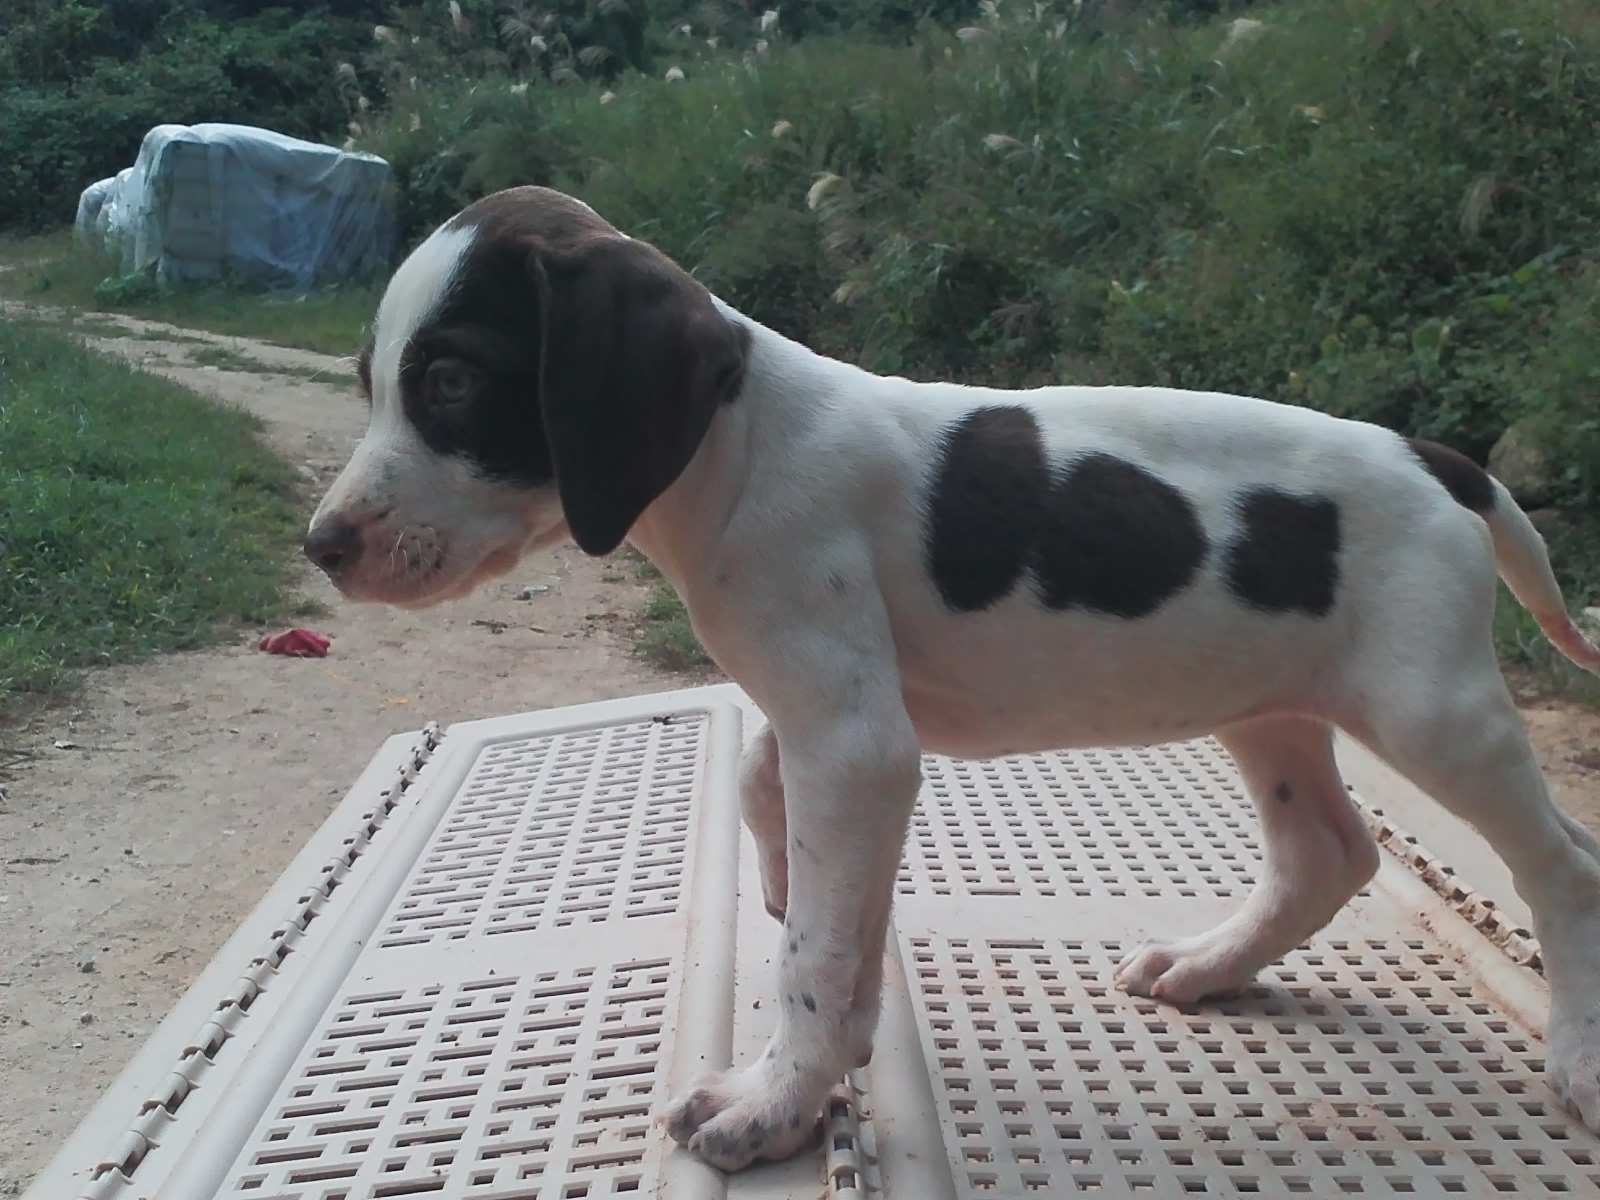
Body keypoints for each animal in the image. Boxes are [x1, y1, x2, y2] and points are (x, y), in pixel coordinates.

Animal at [305, 185, 1600, 1172]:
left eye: (451, 384)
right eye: (374, 381)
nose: (322, 547)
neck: (738, 446)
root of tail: (1429, 458)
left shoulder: (855, 745)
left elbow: (810, 955)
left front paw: (774, 1104)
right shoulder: (833, 727)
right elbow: (786, 835)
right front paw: (799, 940)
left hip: (1432, 712)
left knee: (1564, 868)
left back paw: (1577, 1056)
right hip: (1270, 704)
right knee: (1324, 853)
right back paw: (1208, 966)